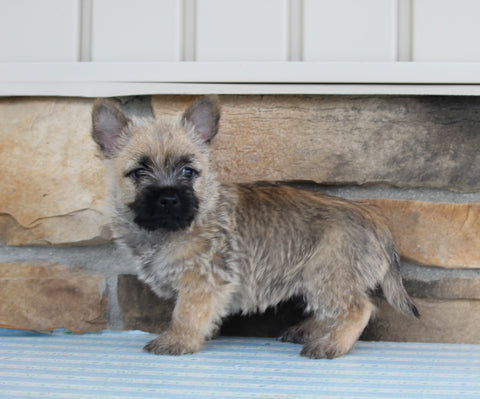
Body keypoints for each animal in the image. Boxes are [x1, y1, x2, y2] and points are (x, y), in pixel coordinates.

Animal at [93, 96, 416, 360]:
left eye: (188, 171)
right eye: (139, 172)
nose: (169, 199)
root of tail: (374, 219)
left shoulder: (202, 281)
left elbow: (185, 313)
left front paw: (178, 340)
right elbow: (198, 313)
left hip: (328, 274)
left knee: (357, 309)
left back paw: (332, 345)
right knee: (332, 311)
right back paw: (310, 331)